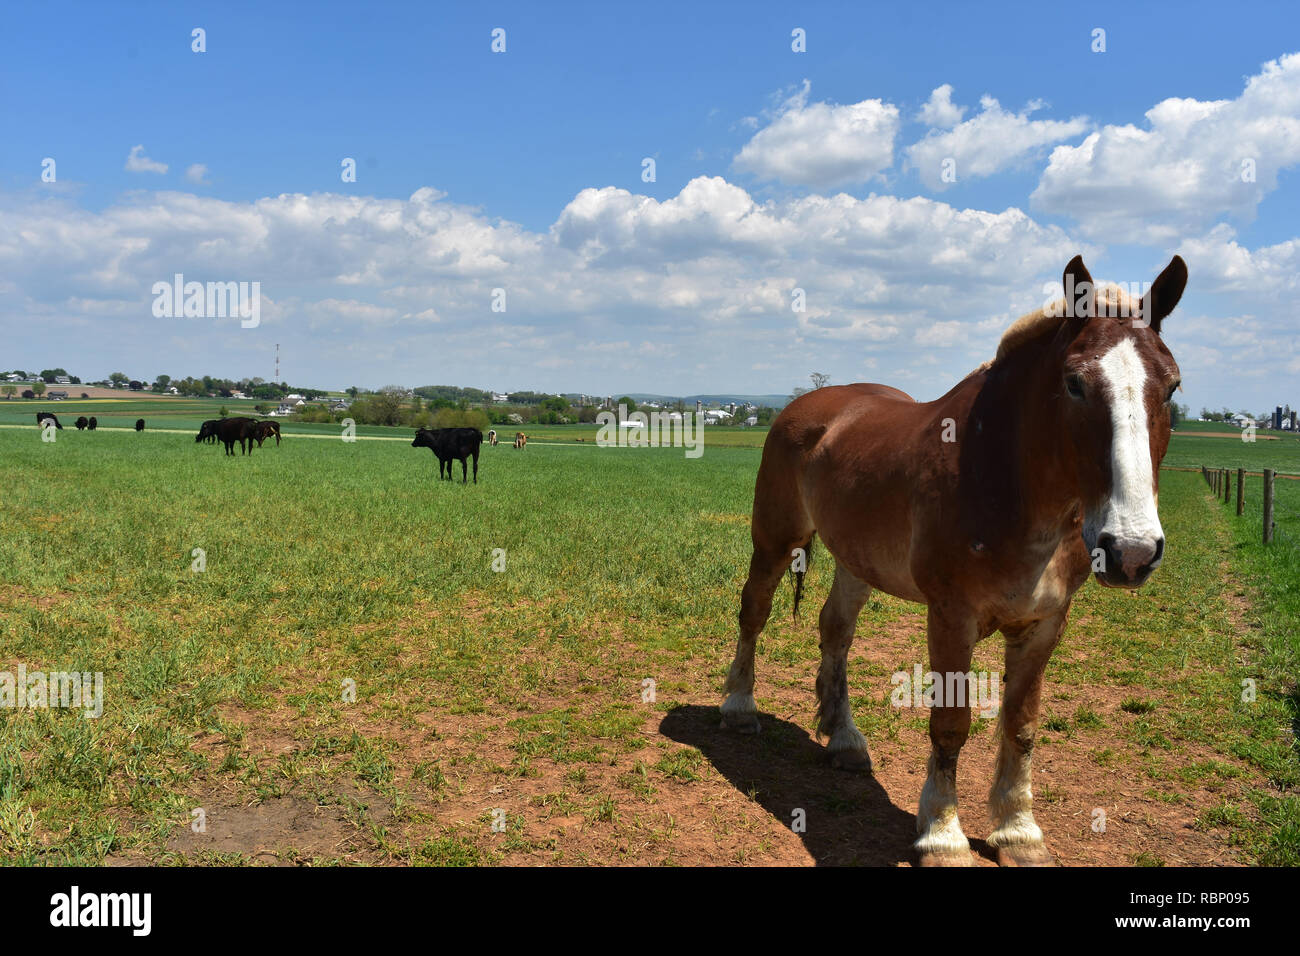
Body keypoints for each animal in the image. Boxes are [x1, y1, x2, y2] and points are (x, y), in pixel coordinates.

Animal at [721, 255, 1187, 867]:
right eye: (1074, 383)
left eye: (1172, 387)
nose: (1131, 550)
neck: (1006, 482)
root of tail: (806, 406)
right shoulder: (950, 618)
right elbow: (950, 725)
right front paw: (941, 836)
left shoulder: (1044, 624)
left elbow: (1021, 725)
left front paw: (1018, 832)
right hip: (776, 540)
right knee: (754, 612)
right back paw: (739, 708)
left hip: (856, 562)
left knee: (836, 631)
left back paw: (844, 739)